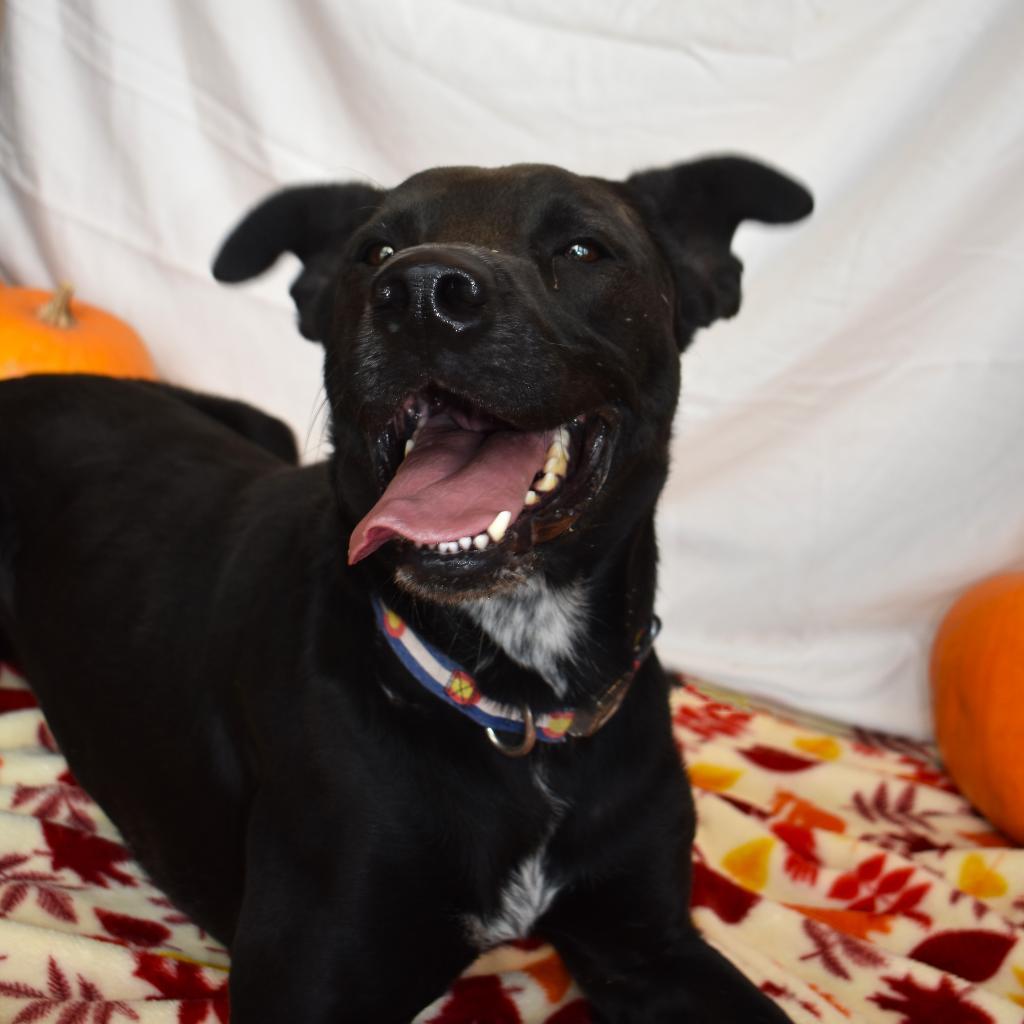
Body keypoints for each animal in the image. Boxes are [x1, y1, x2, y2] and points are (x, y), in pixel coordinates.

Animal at [2, 155, 815, 1019]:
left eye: (585, 249)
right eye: (375, 252)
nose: (420, 291)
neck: (520, 709)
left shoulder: (651, 942)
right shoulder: (309, 972)